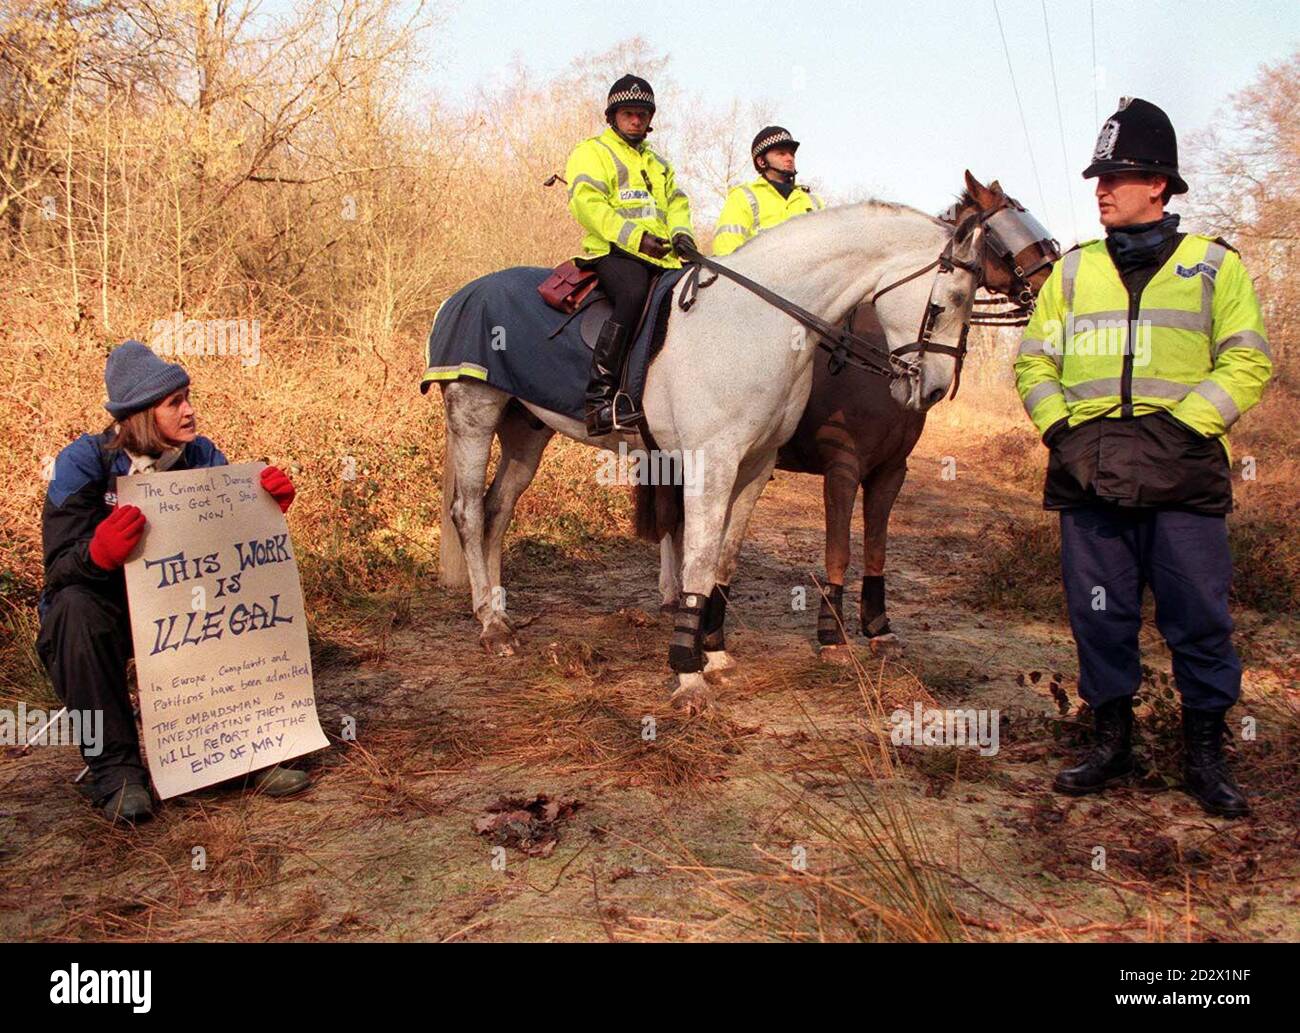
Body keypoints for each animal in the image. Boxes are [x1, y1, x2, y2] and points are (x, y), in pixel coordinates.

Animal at [436, 174, 993, 717]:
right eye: (952, 299)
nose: (935, 388)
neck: (756, 325)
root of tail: (460, 296)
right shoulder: (714, 464)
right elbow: (699, 561)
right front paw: (687, 674)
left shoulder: (756, 466)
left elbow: (724, 559)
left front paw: (715, 654)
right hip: (475, 413)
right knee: (468, 511)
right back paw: (491, 628)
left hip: (526, 431)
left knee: (497, 510)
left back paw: (499, 612)